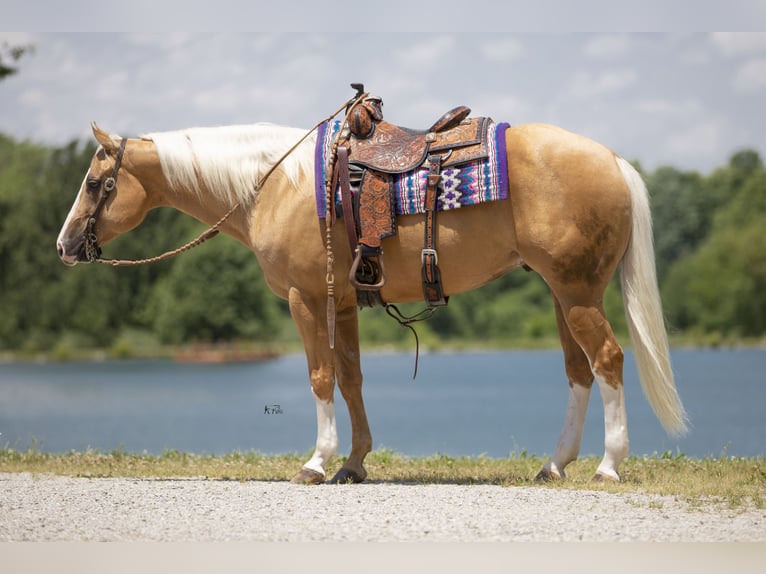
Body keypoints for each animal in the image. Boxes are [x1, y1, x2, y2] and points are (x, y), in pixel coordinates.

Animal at [57, 113, 688, 486]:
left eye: (93, 184)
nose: (65, 246)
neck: (274, 184)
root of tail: (613, 161)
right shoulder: (340, 303)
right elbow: (350, 377)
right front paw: (354, 463)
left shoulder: (305, 298)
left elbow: (319, 376)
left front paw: (316, 462)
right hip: (563, 292)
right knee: (578, 371)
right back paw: (554, 464)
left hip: (577, 292)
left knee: (607, 361)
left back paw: (608, 466)